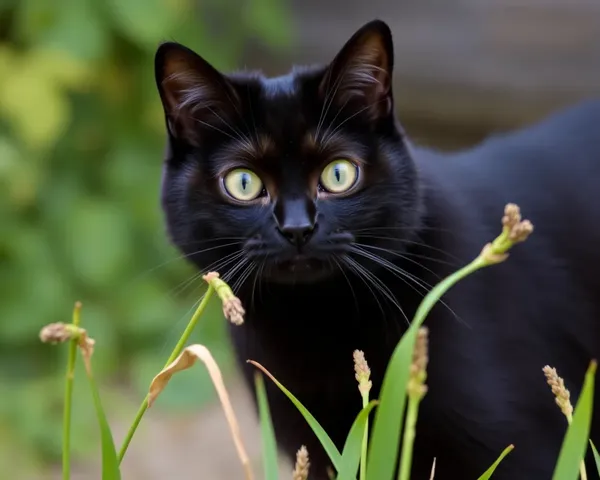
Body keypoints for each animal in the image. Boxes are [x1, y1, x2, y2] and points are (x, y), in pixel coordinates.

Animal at [154, 18, 600, 480]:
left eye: (338, 174)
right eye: (244, 183)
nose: (297, 228)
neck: (315, 321)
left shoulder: (525, 449)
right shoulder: (316, 449)